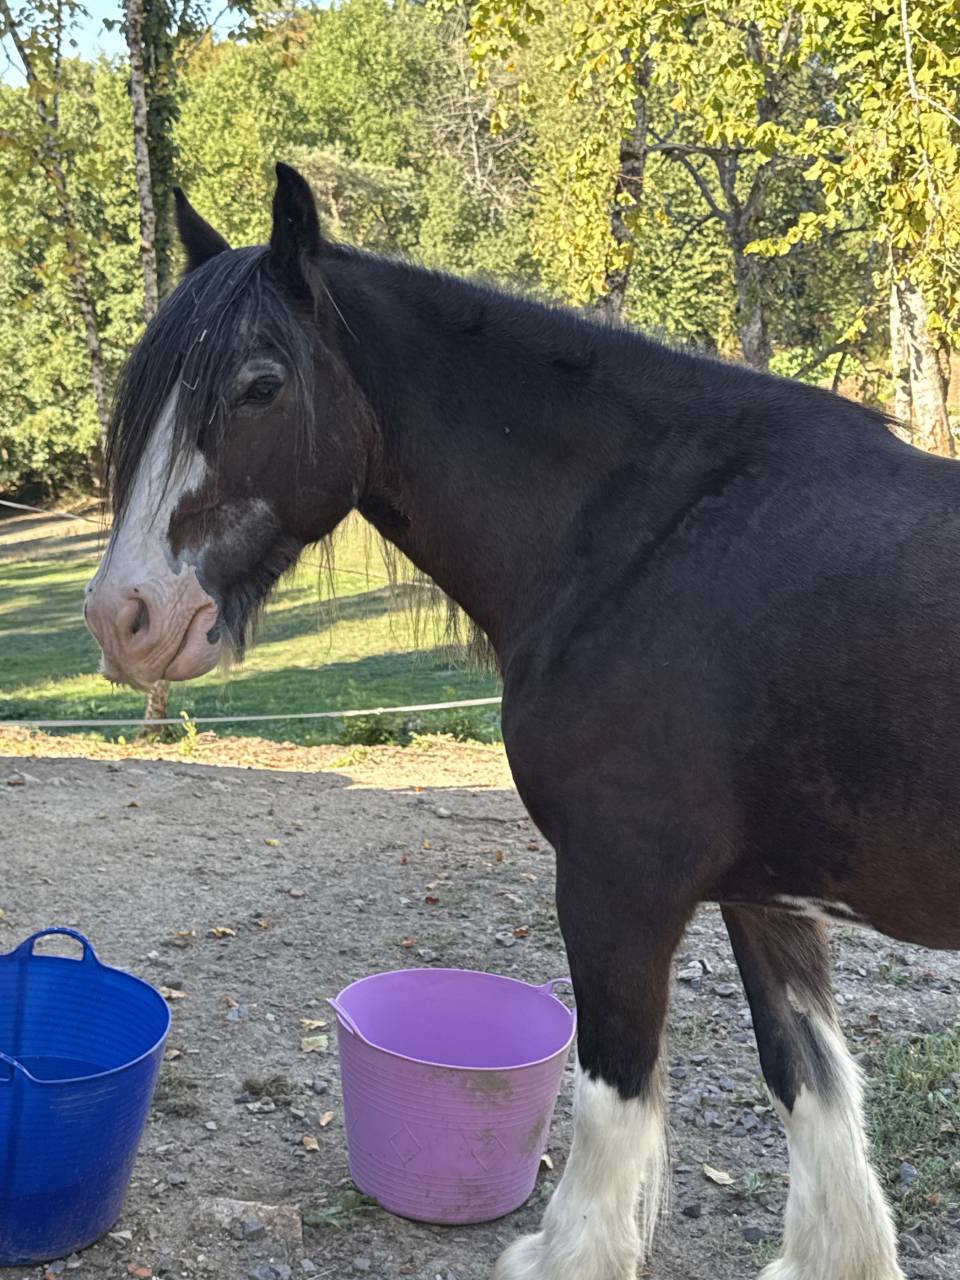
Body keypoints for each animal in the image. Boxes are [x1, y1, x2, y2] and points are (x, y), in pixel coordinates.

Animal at [85, 163, 960, 1280]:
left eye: (261, 386)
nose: (124, 616)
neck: (640, 535)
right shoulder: (766, 900)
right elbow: (805, 1078)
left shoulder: (618, 890)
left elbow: (612, 1095)